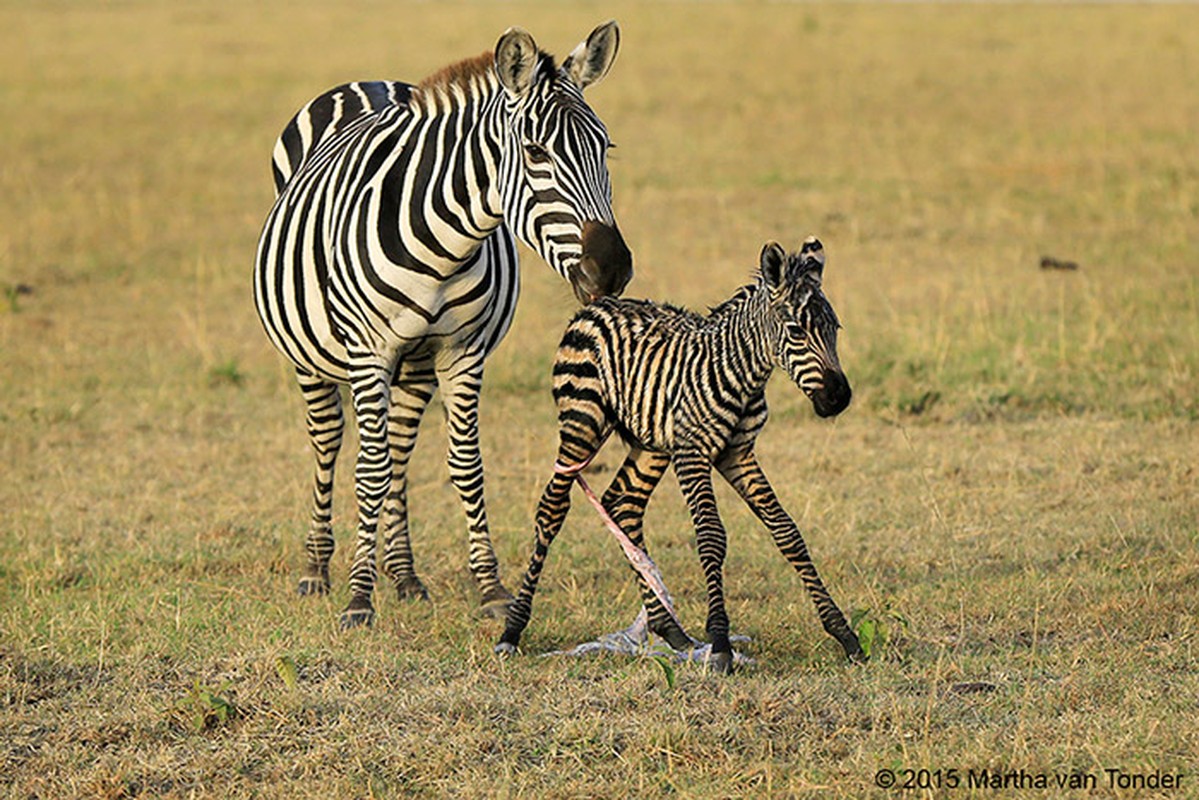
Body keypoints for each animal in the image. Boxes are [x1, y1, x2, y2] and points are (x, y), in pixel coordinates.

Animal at [256, 21, 633, 628]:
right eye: (535, 152)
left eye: (606, 148)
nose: (614, 268)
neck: (442, 246)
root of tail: (366, 81)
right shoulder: (368, 354)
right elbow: (368, 470)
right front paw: (359, 599)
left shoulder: (463, 352)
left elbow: (464, 465)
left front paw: (491, 588)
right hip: (311, 354)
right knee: (330, 440)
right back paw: (317, 569)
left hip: (416, 364)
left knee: (399, 449)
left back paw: (404, 574)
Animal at [491, 239, 868, 676]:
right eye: (796, 331)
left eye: (834, 330)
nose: (837, 399)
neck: (742, 373)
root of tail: (601, 303)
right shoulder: (693, 454)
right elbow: (711, 537)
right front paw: (720, 644)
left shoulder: (738, 454)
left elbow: (786, 531)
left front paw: (844, 634)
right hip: (582, 420)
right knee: (552, 508)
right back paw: (512, 630)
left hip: (652, 444)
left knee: (623, 504)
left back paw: (669, 628)